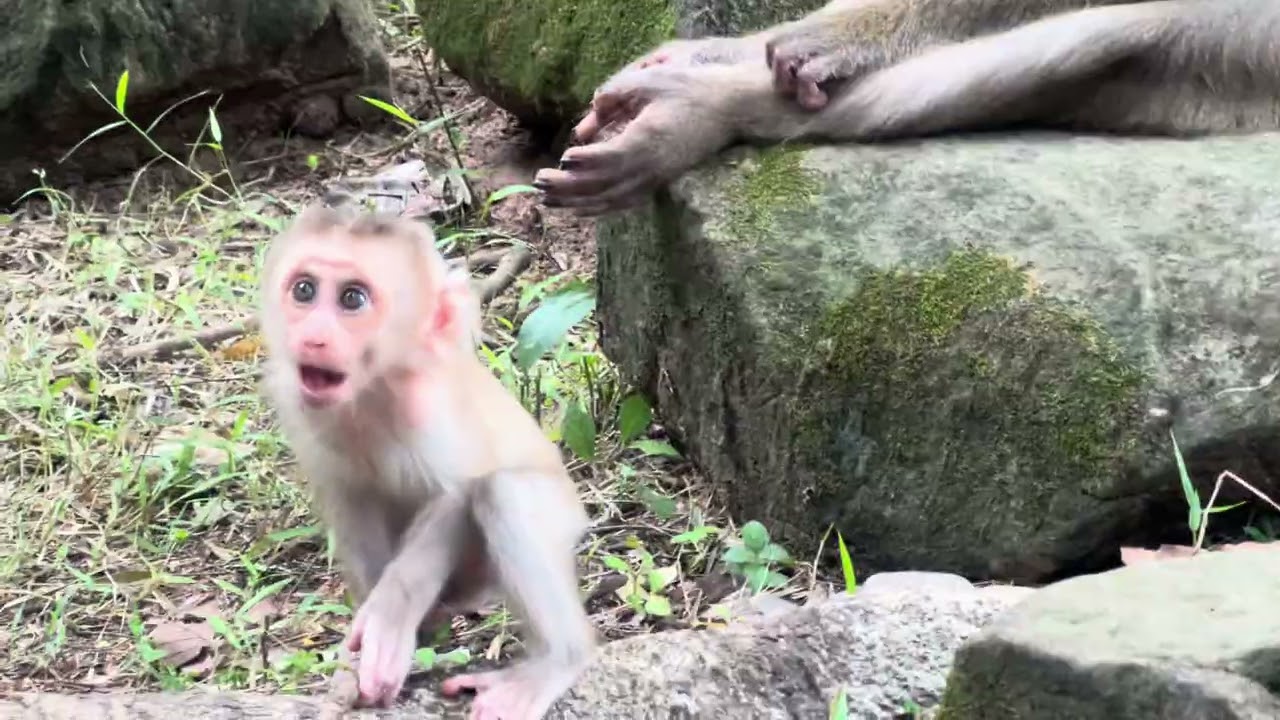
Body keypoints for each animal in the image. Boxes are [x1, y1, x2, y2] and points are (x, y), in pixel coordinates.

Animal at [258, 205, 595, 718]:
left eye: (352, 299)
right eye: (304, 291)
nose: (312, 337)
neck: (374, 390)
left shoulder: (431, 409)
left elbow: (458, 493)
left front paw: (388, 622)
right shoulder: (299, 409)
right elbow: (349, 498)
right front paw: (358, 657)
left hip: (557, 518)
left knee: (504, 492)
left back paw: (559, 660)